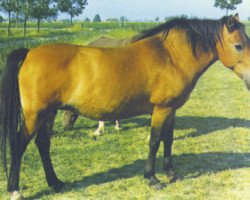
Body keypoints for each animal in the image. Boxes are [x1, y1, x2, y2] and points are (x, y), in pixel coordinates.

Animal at [0, 14, 250, 200]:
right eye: (238, 45)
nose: (249, 80)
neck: (171, 55)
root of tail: (29, 53)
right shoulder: (161, 109)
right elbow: (154, 141)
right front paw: (152, 178)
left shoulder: (171, 109)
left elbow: (167, 140)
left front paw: (171, 173)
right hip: (35, 115)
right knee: (18, 143)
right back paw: (15, 190)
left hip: (49, 114)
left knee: (43, 144)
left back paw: (56, 183)